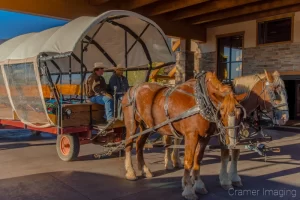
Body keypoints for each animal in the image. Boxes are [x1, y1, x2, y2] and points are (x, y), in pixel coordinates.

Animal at [121, 72, 246, 200]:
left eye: (240, 113)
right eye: (222, 111)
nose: (232, 141)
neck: (201, 101)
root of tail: (132, 88)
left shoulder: (205, 137)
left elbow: (198, 159)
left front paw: (198, 184)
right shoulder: (191, 135)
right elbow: (189, 160)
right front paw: (188, 189)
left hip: (146, 126)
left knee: (139, 144)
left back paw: (144, 169)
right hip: (131, 124)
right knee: (128, 144)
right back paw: (130, 172)